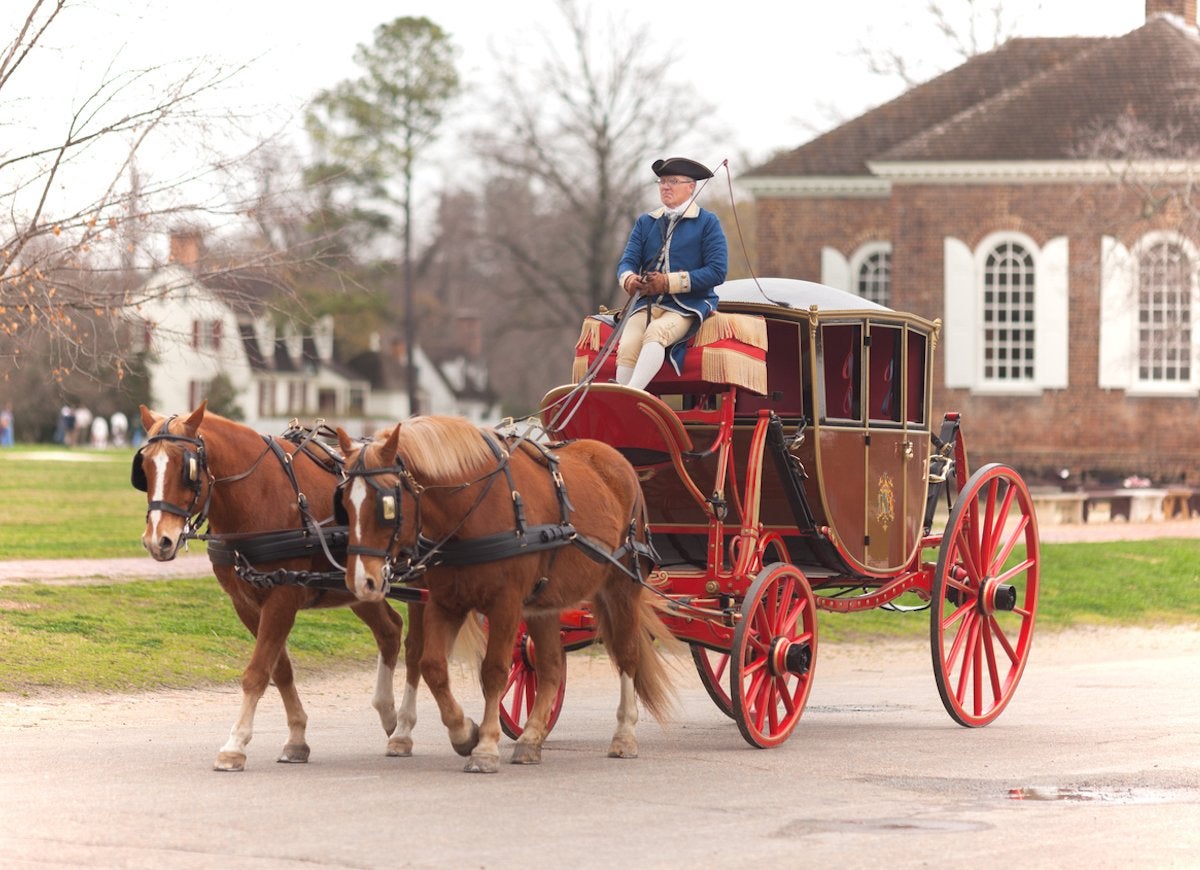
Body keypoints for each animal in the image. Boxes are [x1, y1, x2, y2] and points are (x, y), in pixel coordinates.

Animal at [135, 403, 422, 768]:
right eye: (144, 466)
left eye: (187, 468)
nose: (158, 540)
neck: (258, 492)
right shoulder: (245, 603)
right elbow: (279, 668)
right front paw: (296, 738)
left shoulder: (284, 596)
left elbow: (257, 671)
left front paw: (235, 745)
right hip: (360, 585)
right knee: (389, 630)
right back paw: (388, 715)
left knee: (418, 650)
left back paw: (406, 729)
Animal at [333, 417, 681, 768]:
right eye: (344, 502)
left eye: (387, 505)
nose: (362, 580)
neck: (473, 508)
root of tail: (619, 462)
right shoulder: (446, 602)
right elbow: (432, 665)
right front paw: (463, 733)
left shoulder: (506, 605)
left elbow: (494, 671)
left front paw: (485, 746)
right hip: (545, 602)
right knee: (550, 666)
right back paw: (531, 738)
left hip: (622, 587)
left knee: (626, 655)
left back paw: (623, 734)